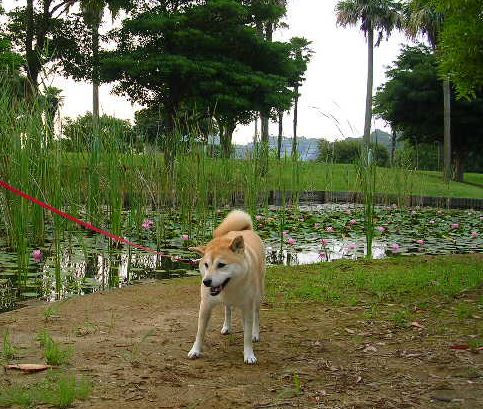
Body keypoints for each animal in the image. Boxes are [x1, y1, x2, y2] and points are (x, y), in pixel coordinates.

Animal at [188, 210, 264, 364]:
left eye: (221, 265)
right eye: (206, 265)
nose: (206, 282)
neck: (230, 288)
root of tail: (246, 230)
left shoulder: (247, 307)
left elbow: (247, 335)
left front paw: (249, 354)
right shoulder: (205, 306)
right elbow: (200, 332)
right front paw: (195, 350)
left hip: (258, 296)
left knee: (256, 315)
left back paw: (255, 333)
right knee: (227, 309)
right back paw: (227, 327)